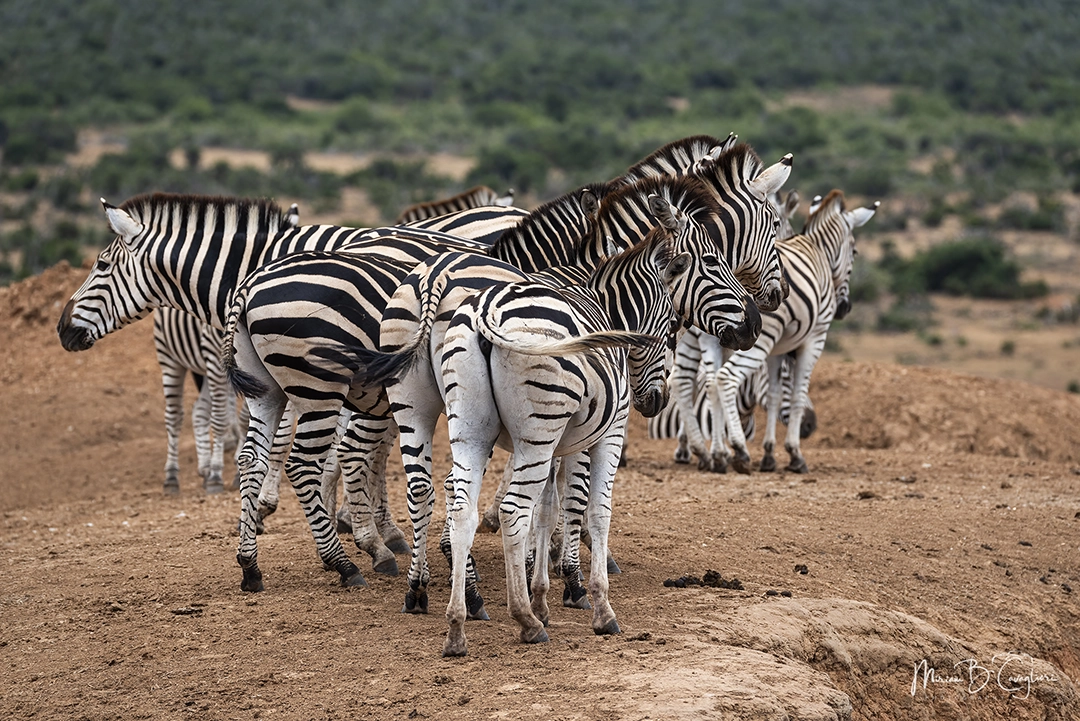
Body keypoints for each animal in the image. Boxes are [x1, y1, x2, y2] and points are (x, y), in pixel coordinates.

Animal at [713, 191, 878, 474]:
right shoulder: (814, 340)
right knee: (725, 379)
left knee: (707, 380)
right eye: (855, 252)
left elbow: (775, 395)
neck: (818, 250)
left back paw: (718, 454)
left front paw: (769, 454)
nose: (844, 308)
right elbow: (799, 395)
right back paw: (739, 449)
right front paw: (795, 454)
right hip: (757, 340)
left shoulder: (777, 350)